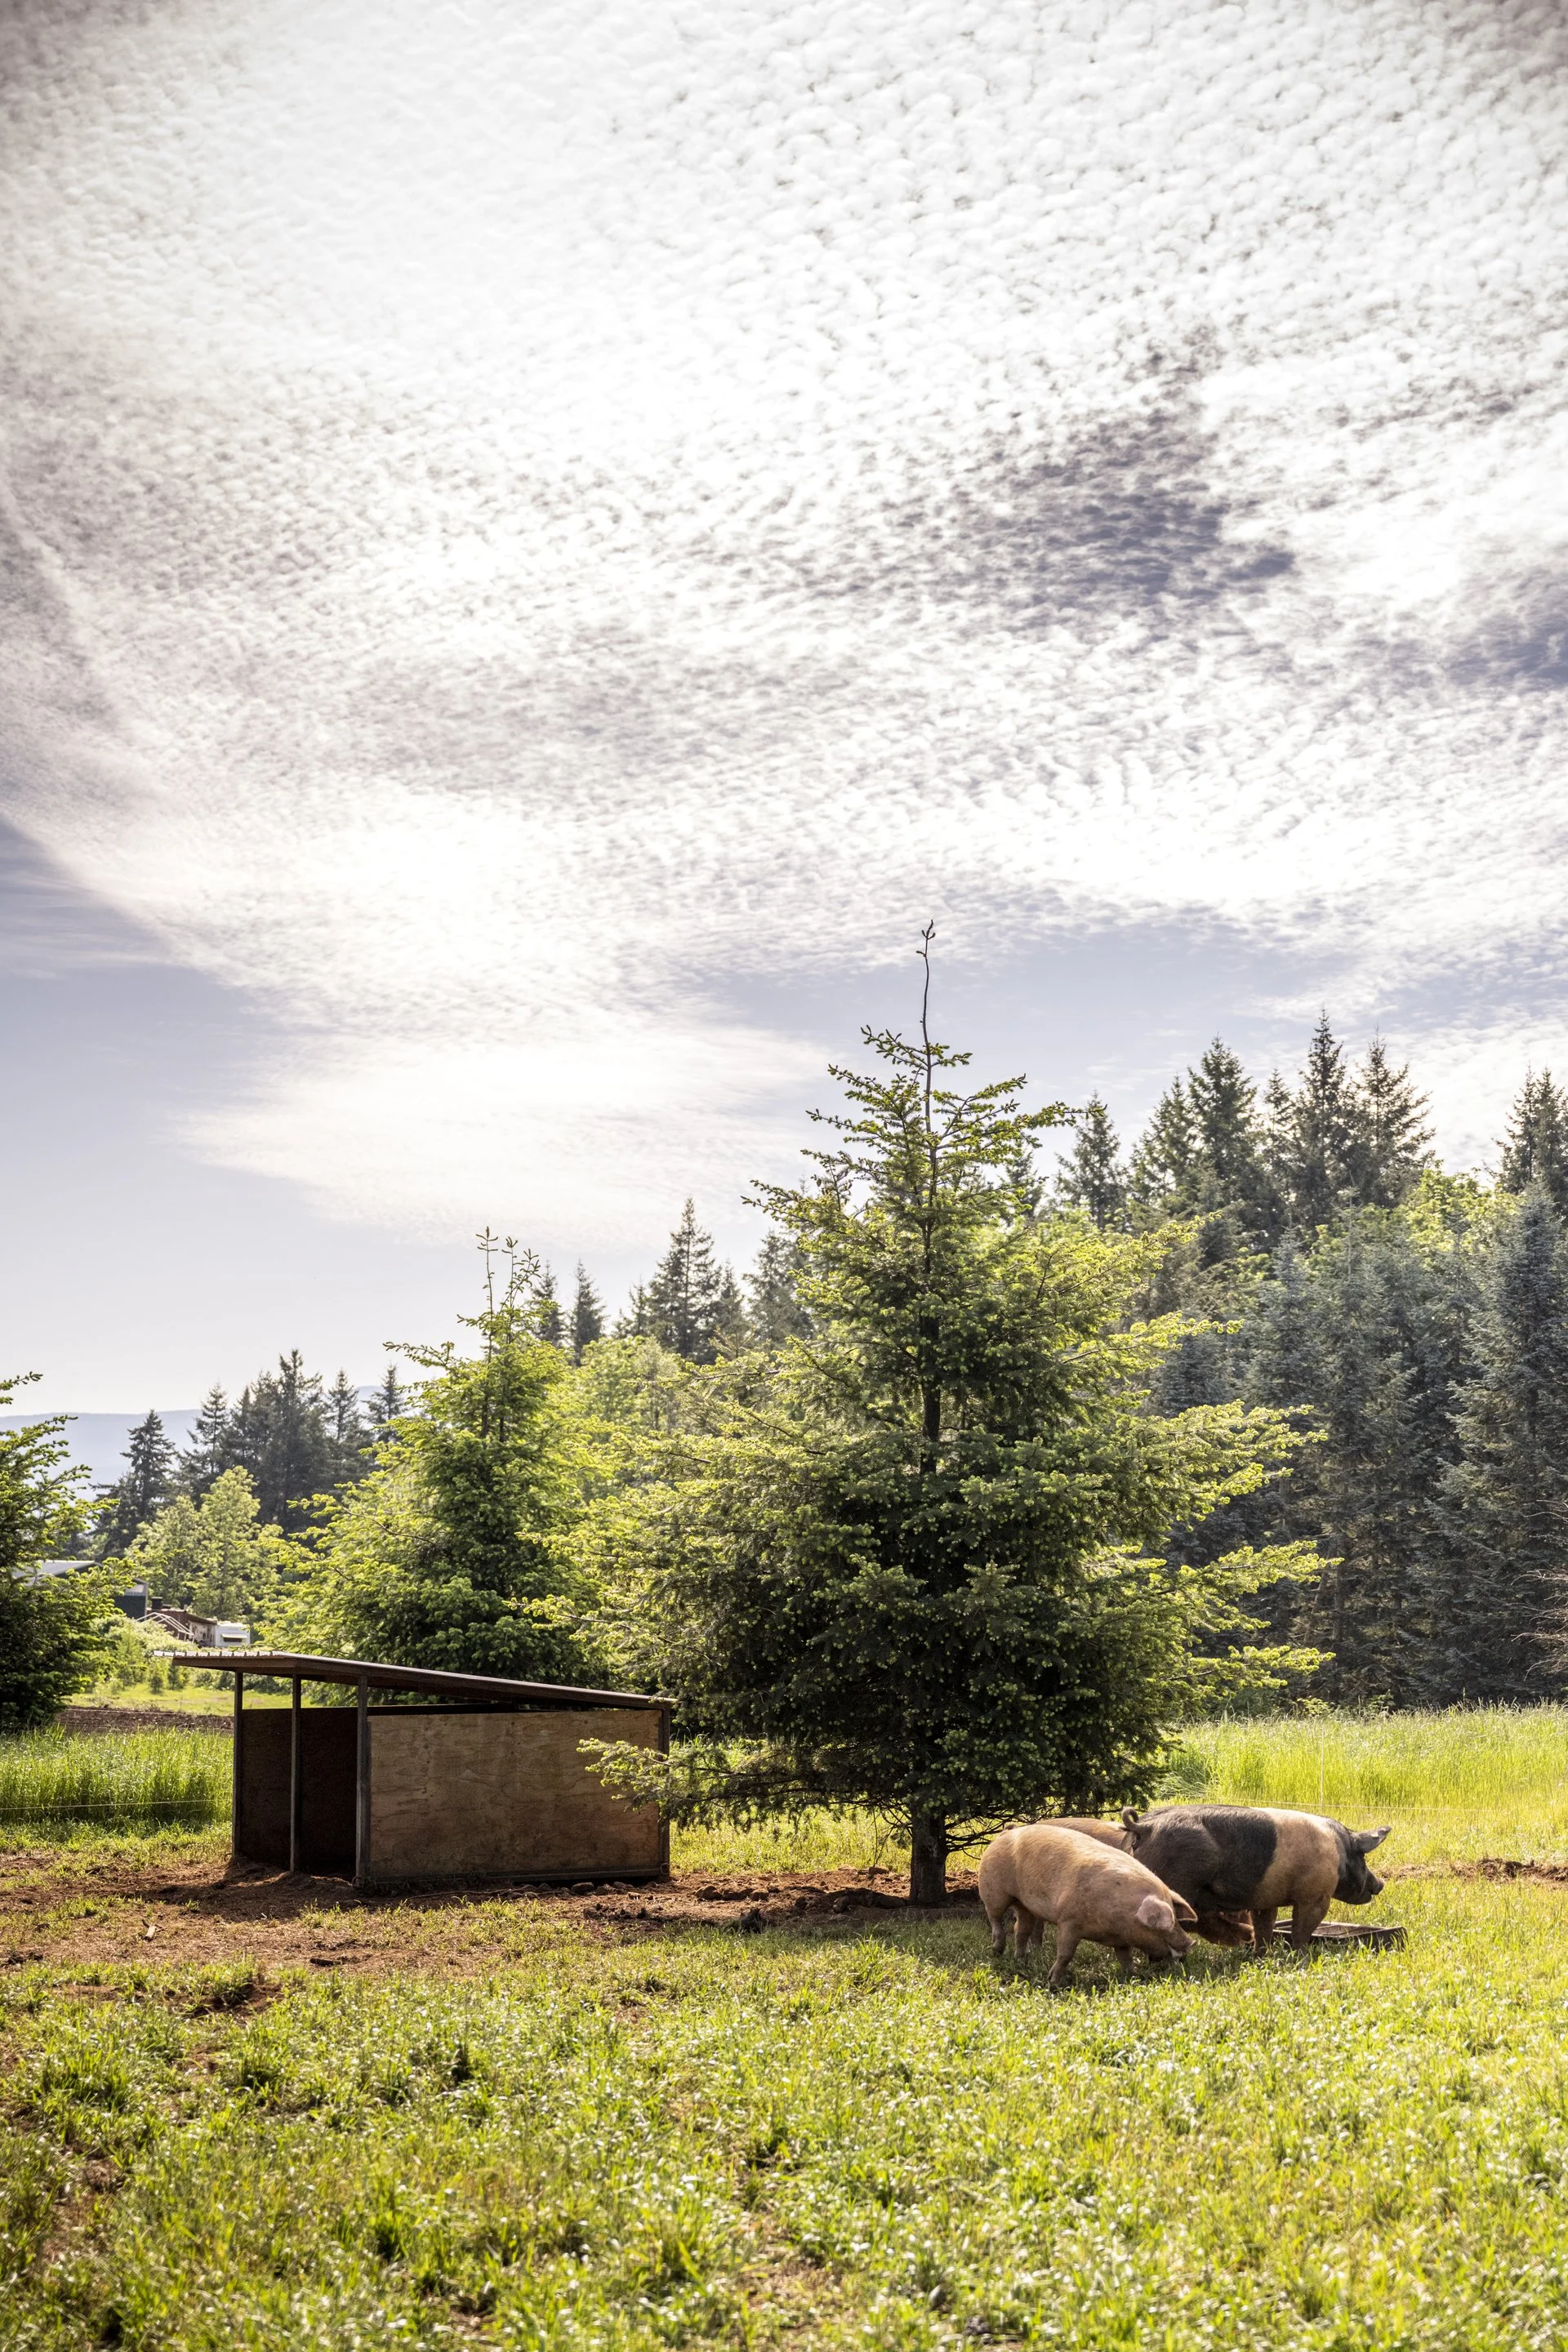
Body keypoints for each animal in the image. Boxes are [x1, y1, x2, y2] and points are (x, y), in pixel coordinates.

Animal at [978, 1823, 1198, 1989]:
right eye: (1166, 1924)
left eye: (1176, 1917)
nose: (1191, 1943)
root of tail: (1007, 1832)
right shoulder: (1068, 1921)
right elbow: (1065, 1954)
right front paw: (1053, 1982)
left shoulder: (1121, 1940)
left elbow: (1126, 1959)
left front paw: (1132, 1977)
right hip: (993, 1890)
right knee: (995, 1918)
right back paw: (997, 1951)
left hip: (1025, 1905)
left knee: (1020, 1929)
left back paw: (1020, 1960)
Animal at [1121, 1804, 1391, 1954]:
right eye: (1363, 1857)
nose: (1380, 1884)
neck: (1340, 1852)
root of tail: (1144, 1827)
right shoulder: (1315, 1896)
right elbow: (1302, 1929)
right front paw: (1301, 1957)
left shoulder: (1265, 1899)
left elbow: (1265, 1926)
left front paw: (1261, 1955)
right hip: (1180, 1882)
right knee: (1188, 1921)